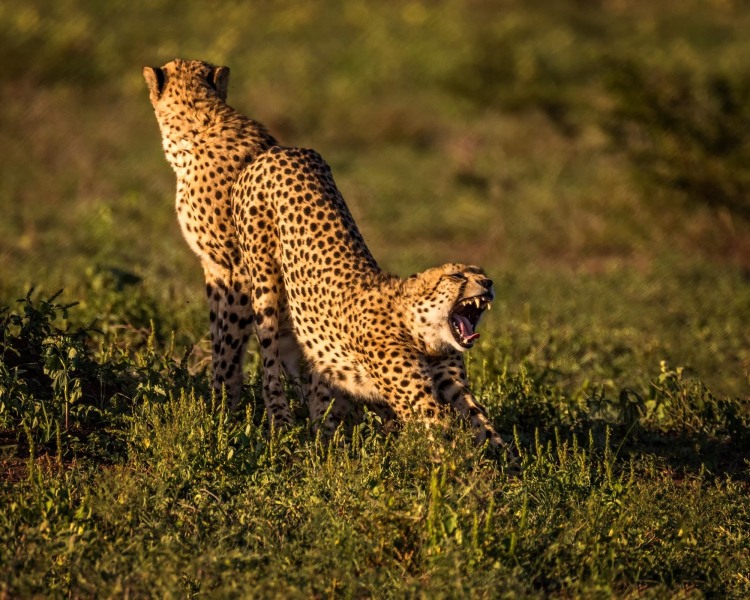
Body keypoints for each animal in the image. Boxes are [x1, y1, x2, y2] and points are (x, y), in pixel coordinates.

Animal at [144, 59, 306, 408]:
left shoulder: (239, 268)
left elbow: (230, 344)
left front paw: (222, 407)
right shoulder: (214, 268)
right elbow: (219, 335)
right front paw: (216, 400)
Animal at [235, 146, 512, 450]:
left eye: (480, 273)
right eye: (456, 276)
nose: (488, 283)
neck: (419, 330)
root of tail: (281, 150)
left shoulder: (454, 388)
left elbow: (485, 427)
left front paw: (511, 462)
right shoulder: (419, 401)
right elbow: (446, 438)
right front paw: (461, 463)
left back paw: (326, 439)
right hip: (265, 288)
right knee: (270, 368)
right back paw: (284, 424)